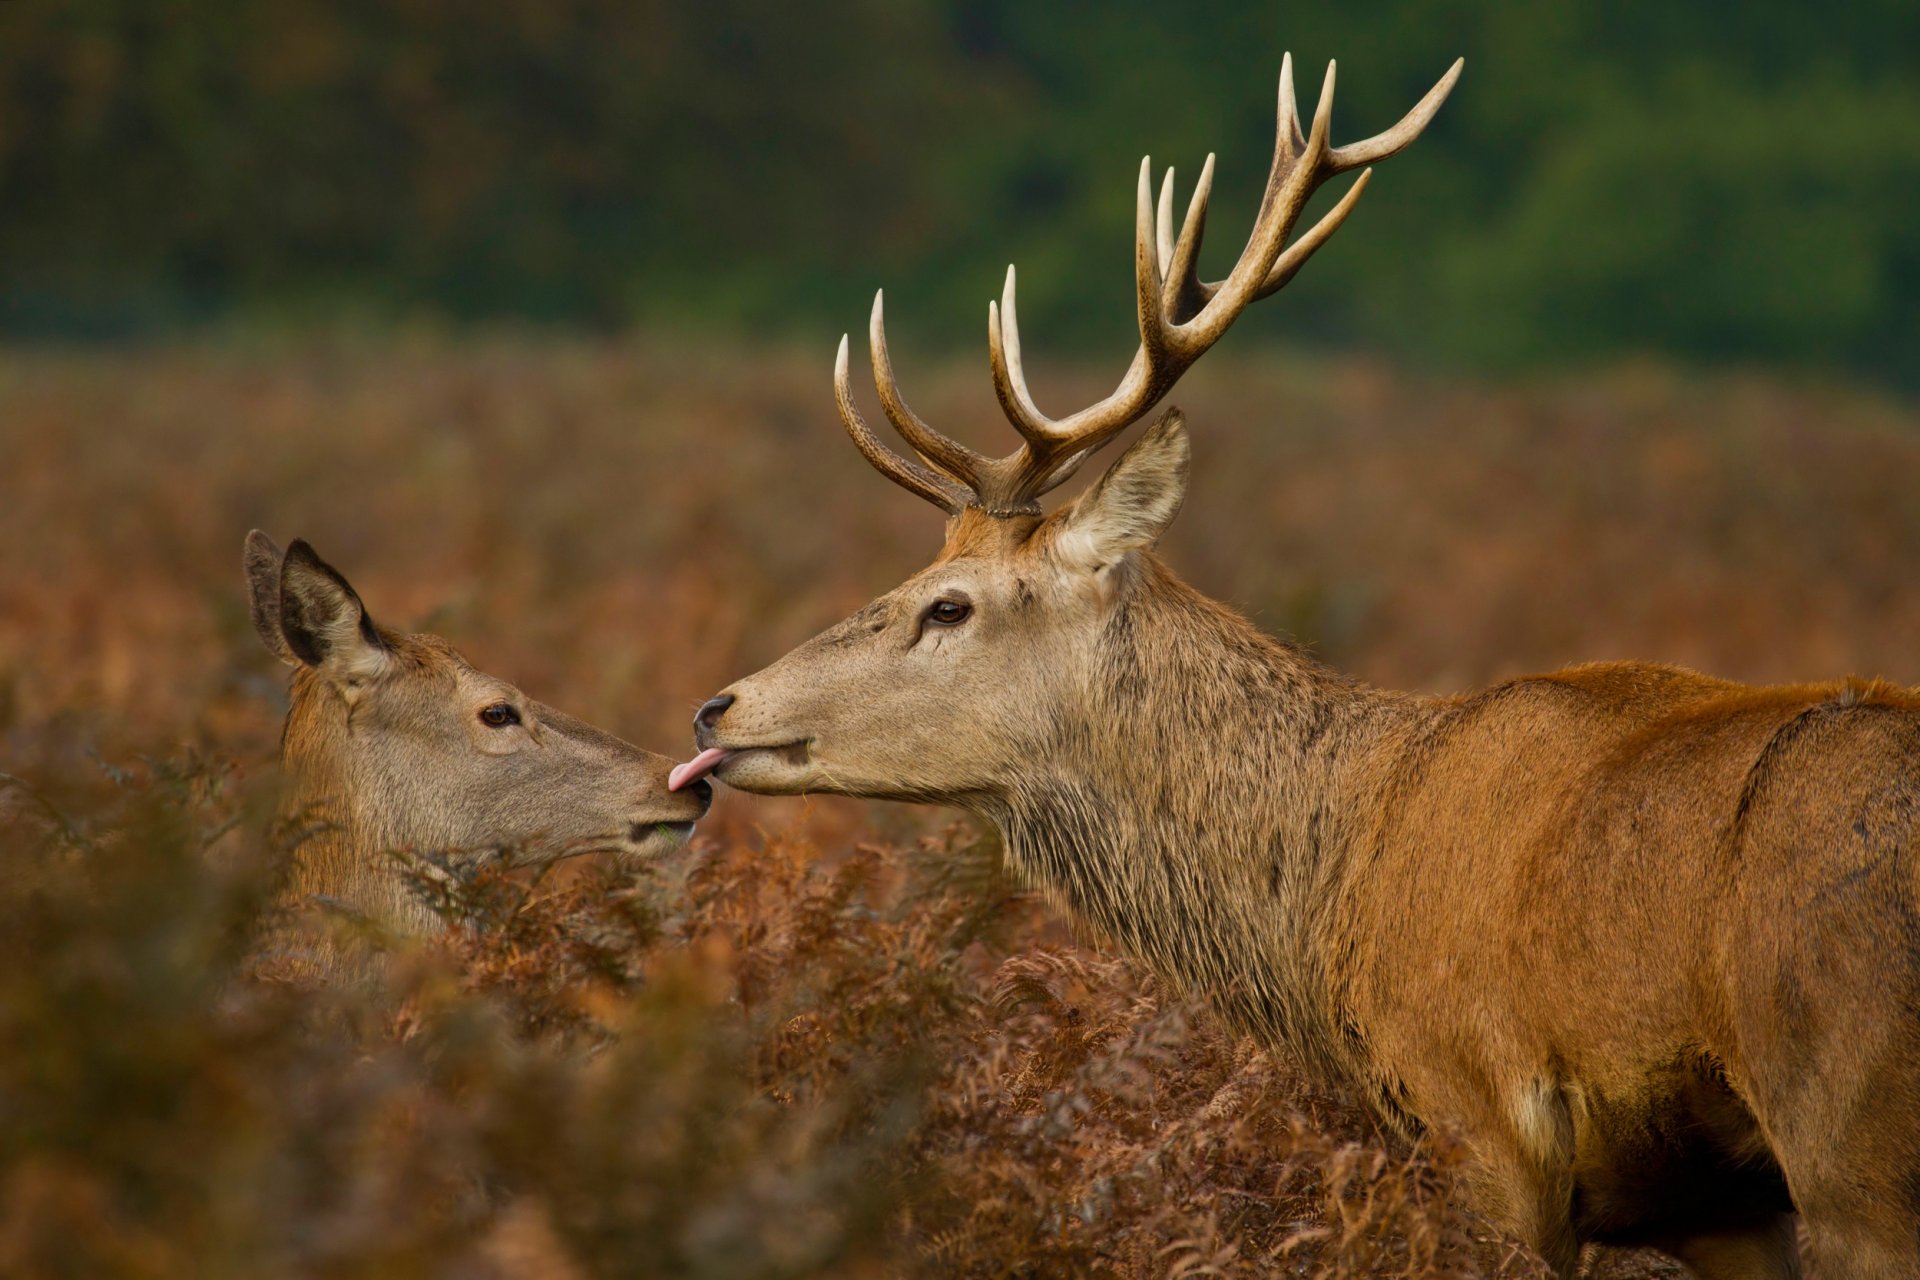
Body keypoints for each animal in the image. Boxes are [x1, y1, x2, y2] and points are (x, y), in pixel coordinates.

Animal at [672, 55, 1920, 1280]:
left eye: (949, 604)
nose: (717, 707)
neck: (1341, 891)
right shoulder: (1717, 1204)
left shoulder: (1479, 1122)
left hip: (1854, 1129)